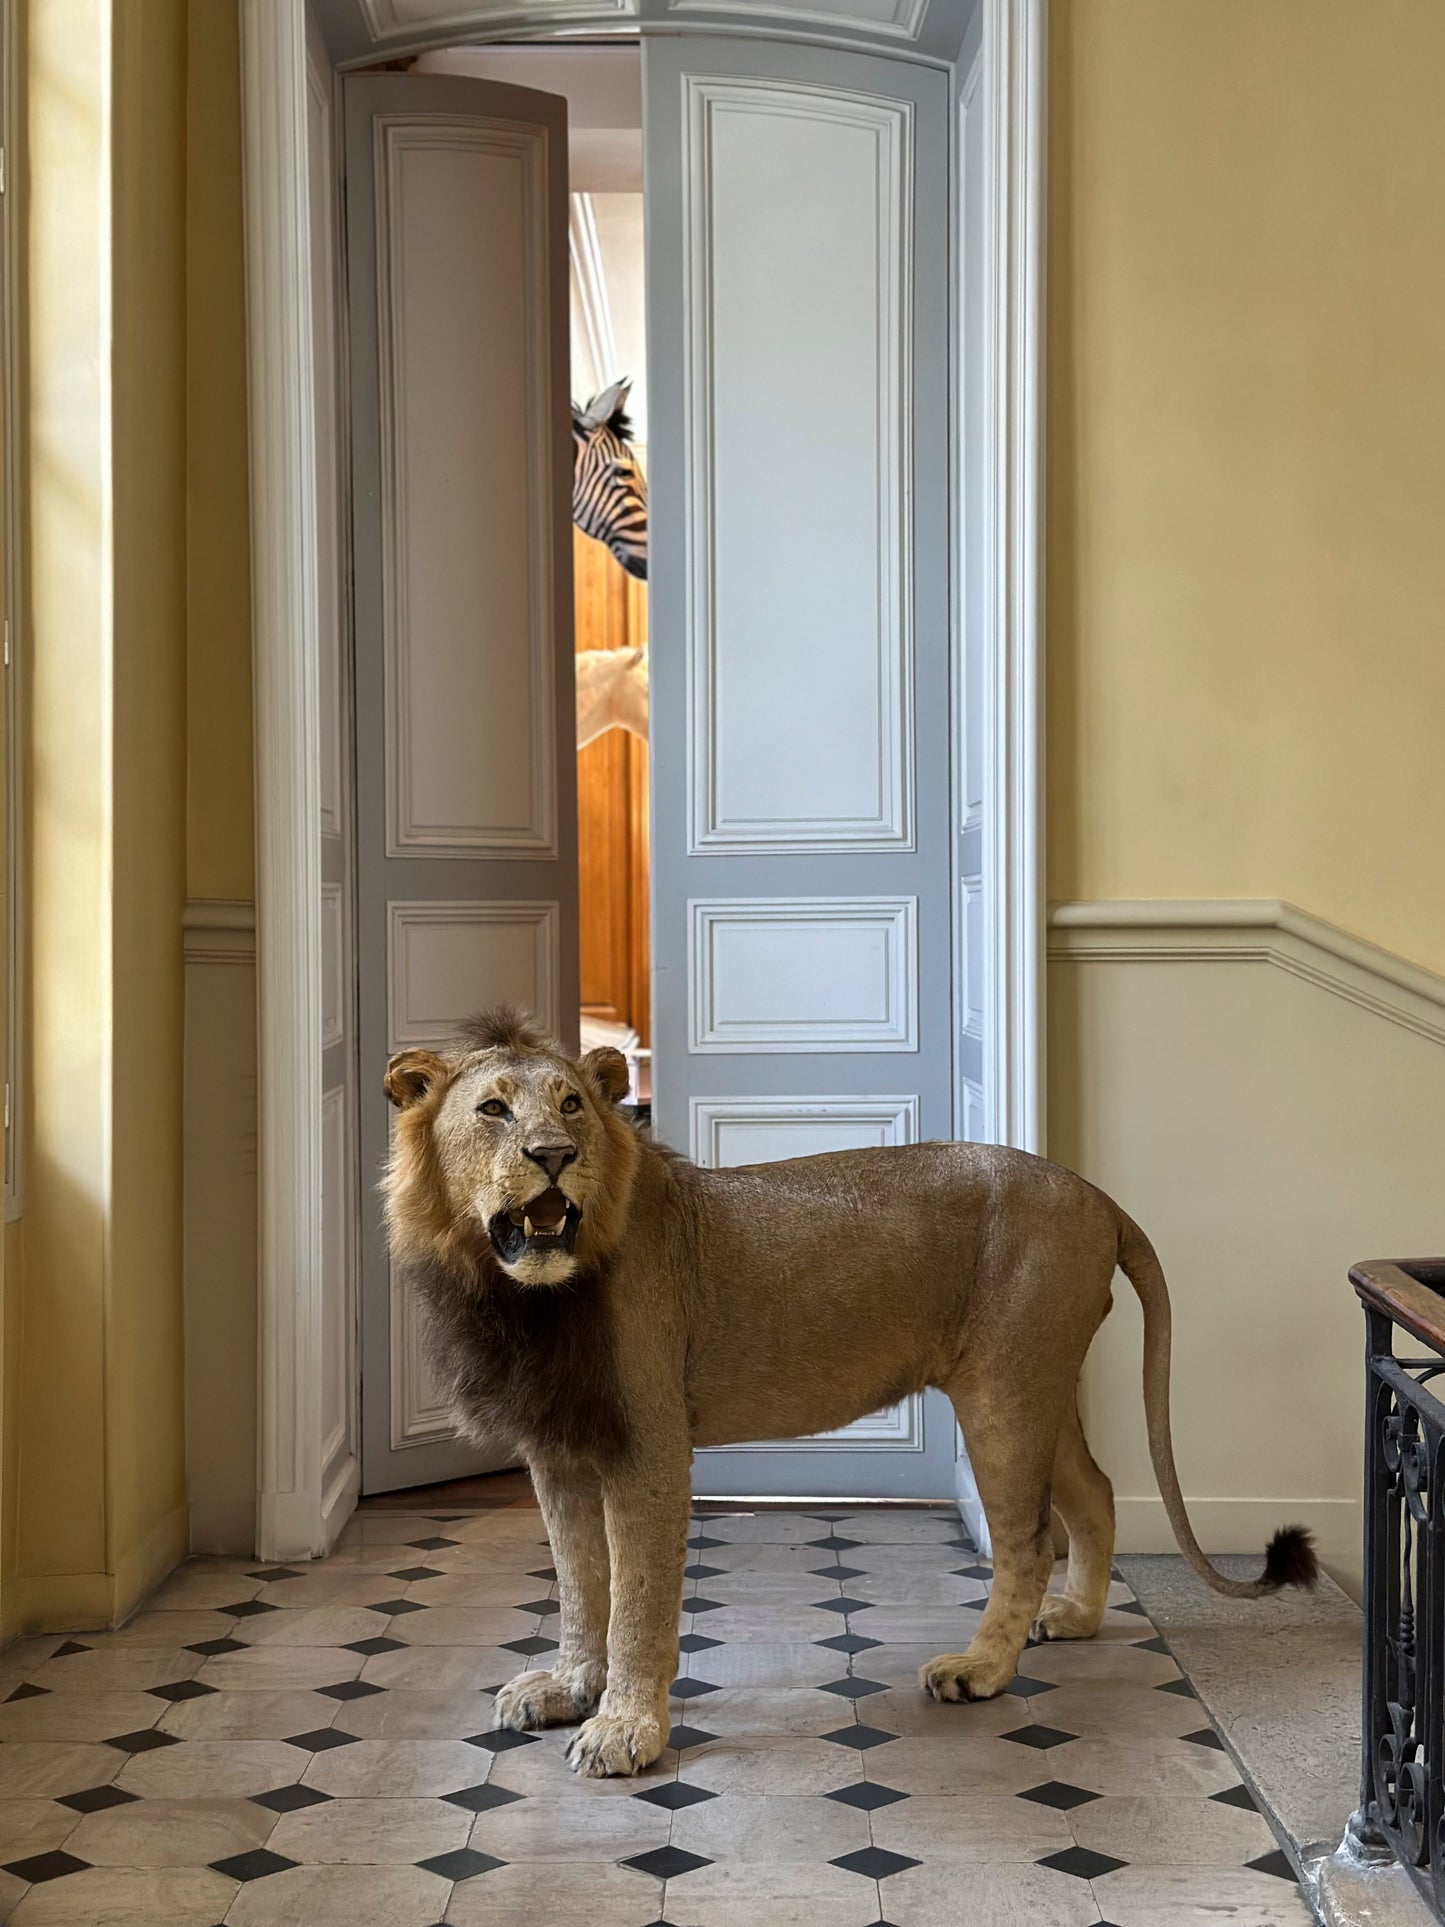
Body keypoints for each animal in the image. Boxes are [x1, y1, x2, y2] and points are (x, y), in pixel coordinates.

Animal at [382, 1007, 1316, 1779]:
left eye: (572, 1104)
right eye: (493, 1110)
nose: (553, 1157)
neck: (523, 1297)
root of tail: (1097, 1196)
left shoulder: (647, 1445)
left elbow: (638, 1597)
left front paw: (624, 1728)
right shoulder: (559, 1448)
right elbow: (580, 1581)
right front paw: (567, 1685)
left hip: (1004, 1391)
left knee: (1025, 1538)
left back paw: (980, 1669)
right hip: (1044, 1383)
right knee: (1093, 1490)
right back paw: (1075, 1617)